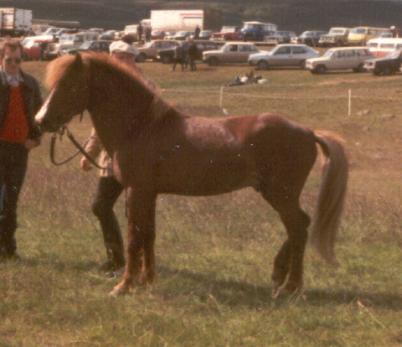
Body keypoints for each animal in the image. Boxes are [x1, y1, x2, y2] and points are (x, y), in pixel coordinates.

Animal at [35, 53, 348, 298]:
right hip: (277, 194)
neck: (141, 127)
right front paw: (147, 280)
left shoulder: (137, 191)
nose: (41, 120)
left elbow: (135, 236)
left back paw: (290, 286)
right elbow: (148, 234)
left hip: (280, 194)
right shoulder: (149, 193)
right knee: (299, 226)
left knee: (297, 228)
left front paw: (124, 286)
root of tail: (308, 131)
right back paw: (280, 275)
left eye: (69, 84)